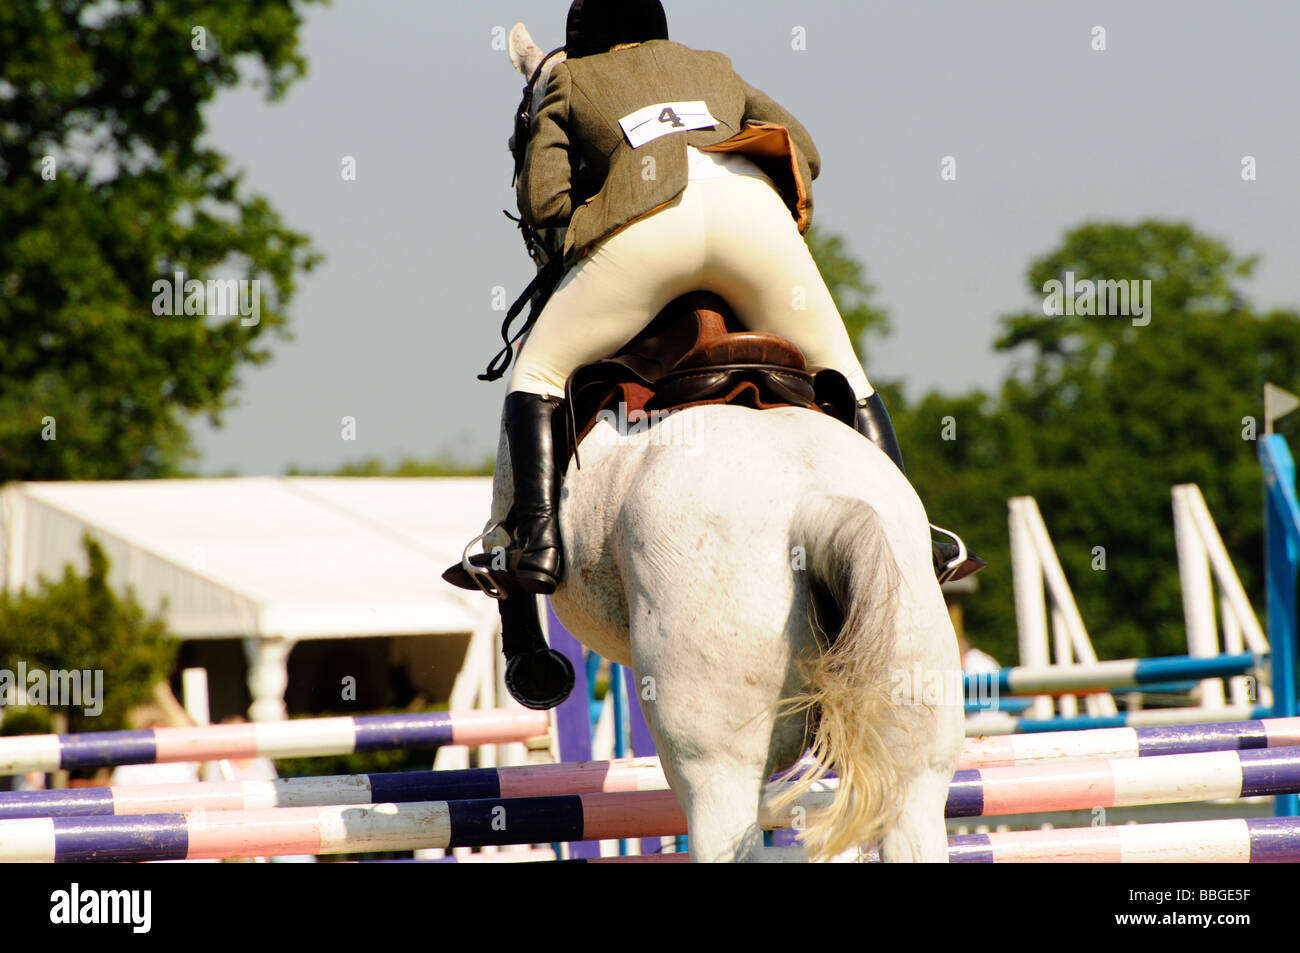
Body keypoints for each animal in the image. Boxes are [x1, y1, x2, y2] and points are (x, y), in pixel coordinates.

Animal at [480, 22, 967, 858]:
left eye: (517, 134)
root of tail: (821, 508)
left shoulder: (508, 513)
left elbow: (511, 572)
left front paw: (534, 669)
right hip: (913, 738)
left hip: (714, 754)